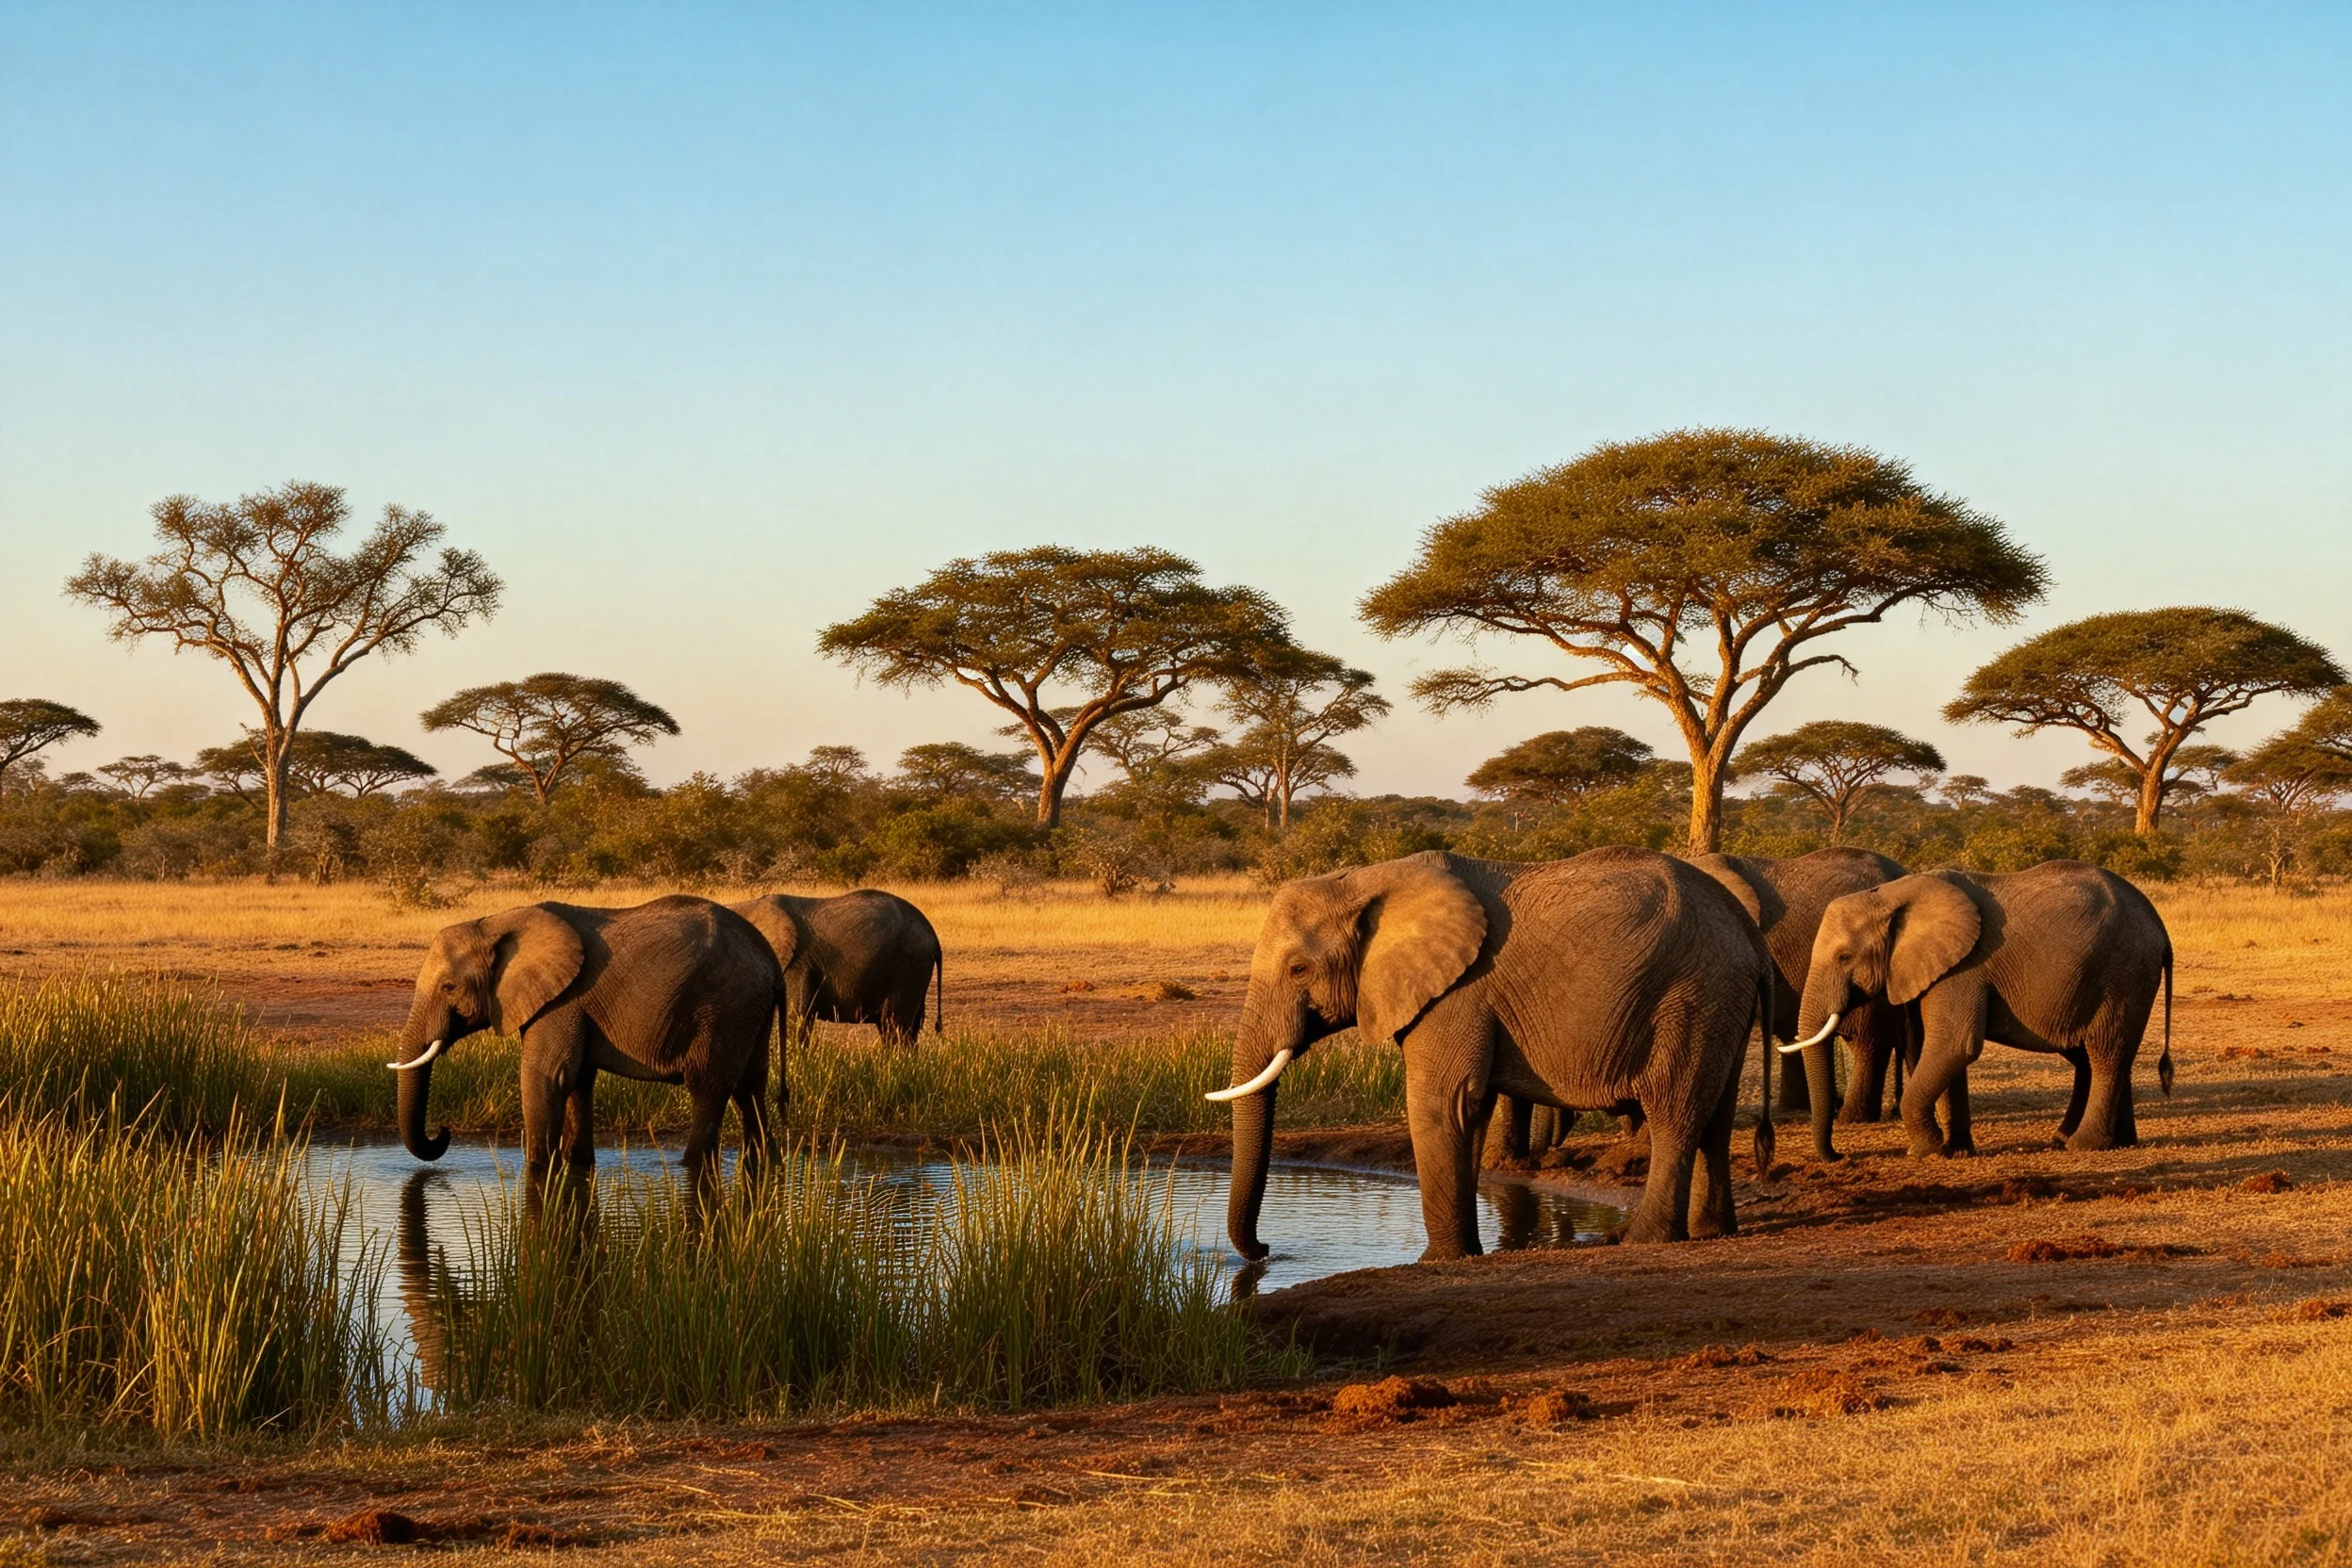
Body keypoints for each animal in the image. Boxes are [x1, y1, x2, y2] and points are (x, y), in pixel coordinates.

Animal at [387, 895, 785, 1192]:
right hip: (749, 1011)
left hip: (725, 1008)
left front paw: (539, 1172)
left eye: (449, 987)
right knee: (751, 1086)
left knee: (708, 1088)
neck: (496, 923)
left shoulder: (562, 1001)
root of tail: (771, 960)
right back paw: (764, 1161)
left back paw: (690, 1164)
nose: (443, 1132)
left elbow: (546, 1077)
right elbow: (577, 1080)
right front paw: (577, 1166)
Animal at [1210, 847, 1775, 1262]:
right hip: (1722, 1002)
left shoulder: (1457, 994)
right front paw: (1465, 1253)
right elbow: (1469, 1111)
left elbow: (1441, 1104)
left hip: (1693, 995)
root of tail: (1750, 937)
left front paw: (1438, 1262)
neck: (1367, 881)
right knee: (1715, 1117)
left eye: (1298, 970)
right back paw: (1709, 1231)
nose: (1266, 1250)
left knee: (1674, 1113)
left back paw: (1641, 1240)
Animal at [1794, 860, 2174, 1158]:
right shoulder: (1927, 970)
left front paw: (1923, 1153)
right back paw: (2105, 1141)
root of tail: (2158, 925)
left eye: (1844, 957)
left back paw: (2084, 1144)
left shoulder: (1963, 969)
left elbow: (1954, 1045)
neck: (1890, 896)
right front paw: (1956, 1150)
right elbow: (1930, 1048)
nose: (1839, 1155)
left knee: (2105, 1052)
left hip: (2123, 974)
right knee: (2093, 1055)